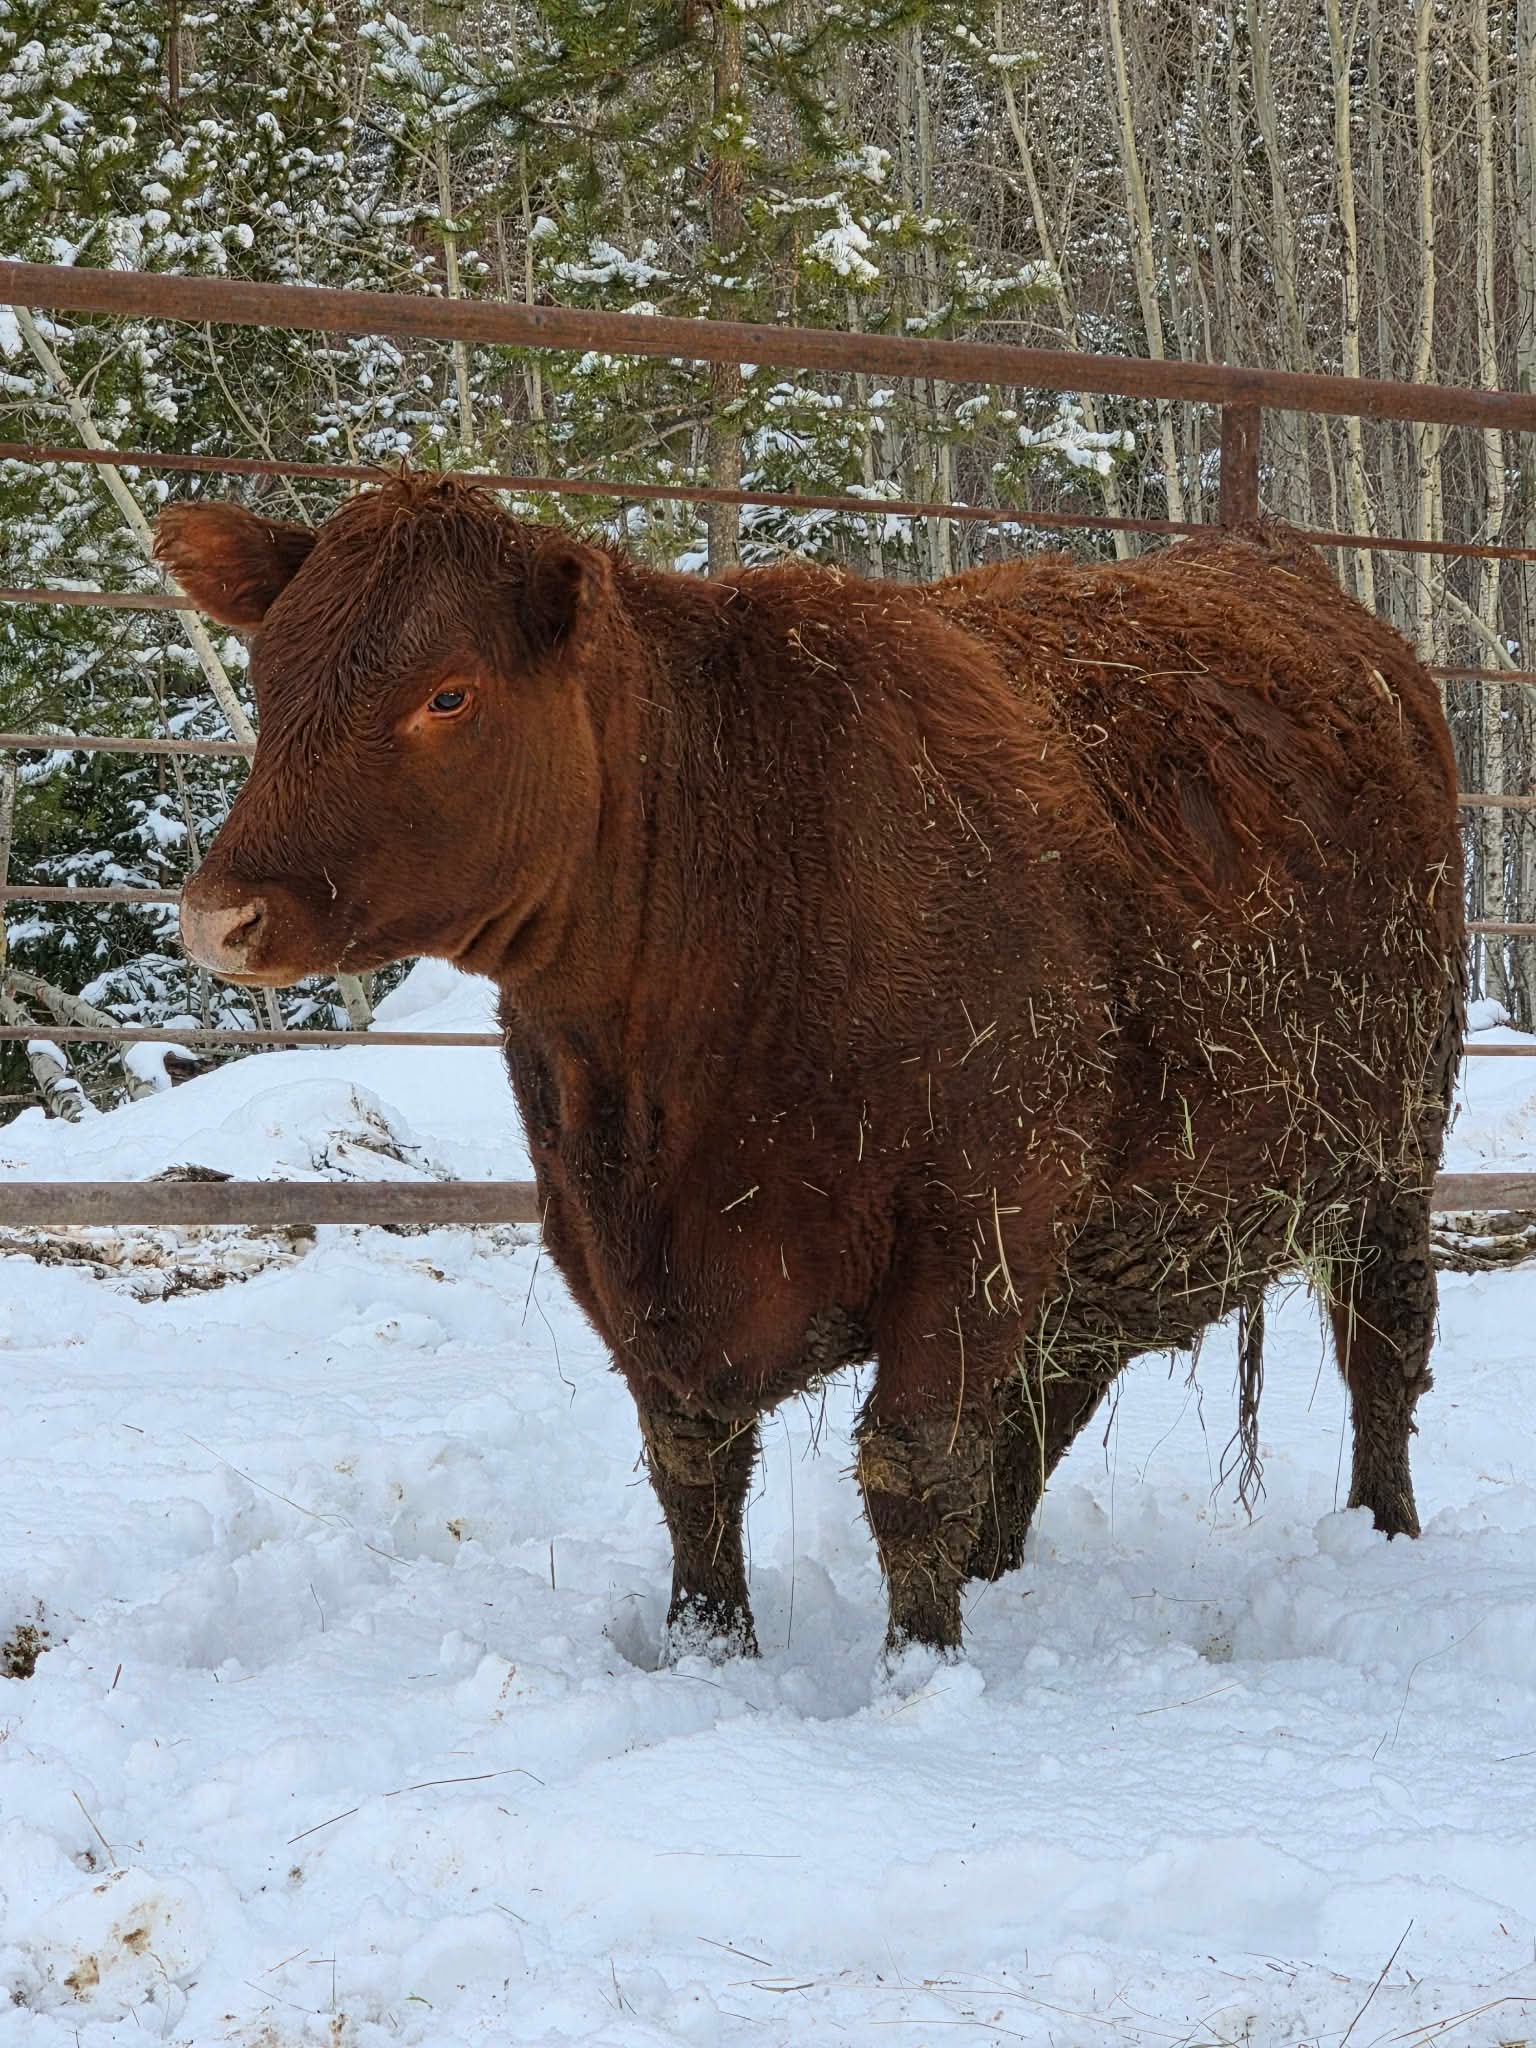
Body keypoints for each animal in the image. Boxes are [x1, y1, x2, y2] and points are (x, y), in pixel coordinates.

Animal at [158, 478, 1465, 1664]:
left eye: (447, 693)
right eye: (269, 675)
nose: (221, 914)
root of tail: (1273, 560)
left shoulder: (974, 1218)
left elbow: (914, 1464)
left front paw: (921, 1668)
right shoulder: (603, 1231)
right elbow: (691, 1459)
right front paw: (707, 1645)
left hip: (1391, 1141)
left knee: (1383, 1342)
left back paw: (1385, 1534)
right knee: (1051, 1397)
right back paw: (1003, 1568)